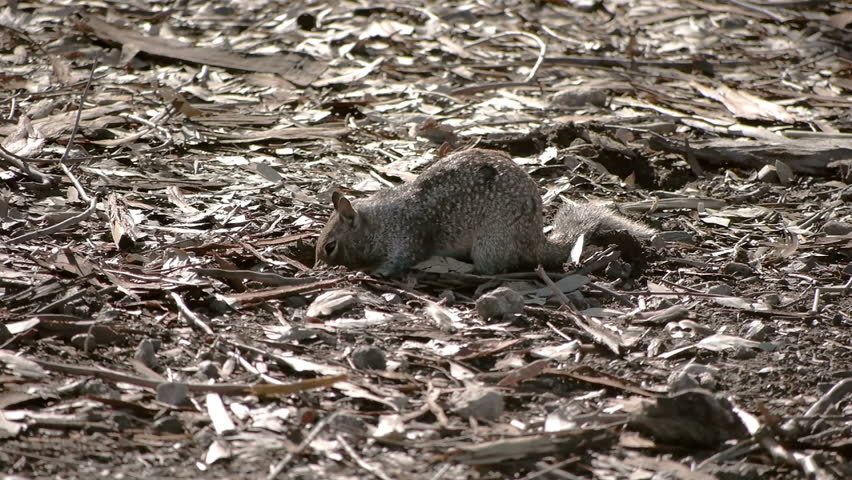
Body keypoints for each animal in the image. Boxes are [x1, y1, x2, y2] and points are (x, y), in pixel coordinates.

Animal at [315, 148, 654, 276]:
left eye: (330, 247)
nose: (317, 269)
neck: (379, 221)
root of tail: (535, 240)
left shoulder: (406, 237)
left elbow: (400, 260)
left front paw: (376, 271)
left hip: (490, 243)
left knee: (491, 270)